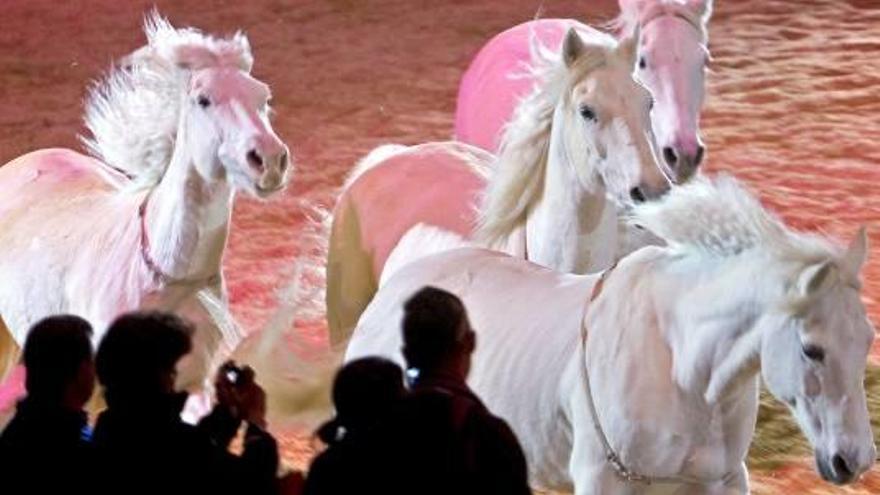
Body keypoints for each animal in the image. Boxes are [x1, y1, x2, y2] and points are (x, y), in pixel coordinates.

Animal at [348, 176, 876, 494]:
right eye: (812, 349)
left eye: (868, 339)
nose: (855, 459)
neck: (680, 369)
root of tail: (395, 282)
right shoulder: (602, 479)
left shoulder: (722, 481)